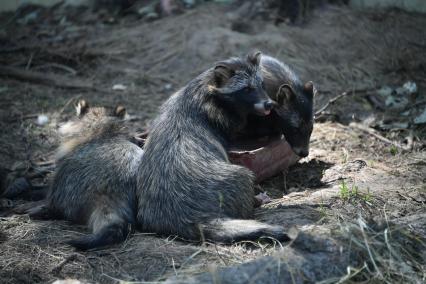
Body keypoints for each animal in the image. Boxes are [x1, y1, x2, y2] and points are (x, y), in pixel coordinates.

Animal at [136, 52, 290, 243]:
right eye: (246, 89)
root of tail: (190, 218)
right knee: (242, 178)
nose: (269, 104)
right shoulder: (219, 117)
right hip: (227, 183)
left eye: (262, 85)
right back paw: (254, 201)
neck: (202, 87)